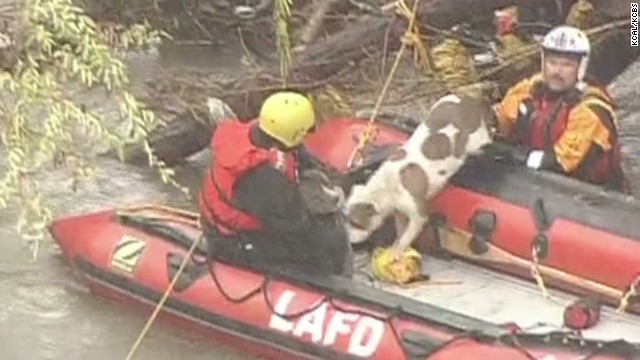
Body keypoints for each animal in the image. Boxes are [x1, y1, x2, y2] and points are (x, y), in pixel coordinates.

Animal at [344, 94, 496, 258]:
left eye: (356, 223)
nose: (349, 243)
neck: (387, 185)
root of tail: (467, 100)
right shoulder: (399, 212)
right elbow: (401, 230)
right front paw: (396, 245)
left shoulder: (419, 215)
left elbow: (407, 236)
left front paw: (397, 252)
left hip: (478, 139)